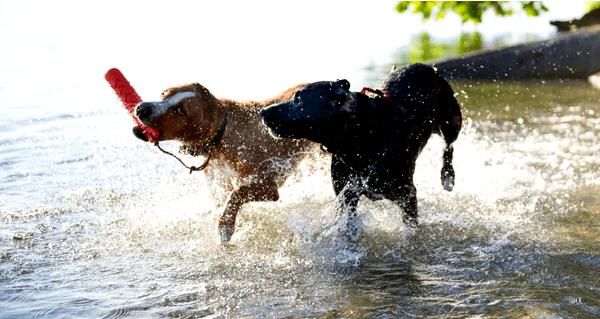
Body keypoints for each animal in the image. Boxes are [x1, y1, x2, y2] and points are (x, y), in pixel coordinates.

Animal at [134, 82, 312, 242]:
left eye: (180, 110)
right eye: (164, 94)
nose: (142, 108)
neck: (222, 134)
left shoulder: (268, 186)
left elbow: (237, 193)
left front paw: (225, 225)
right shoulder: (218, 182)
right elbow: (226, 197)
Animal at [260, 63, 462, 232]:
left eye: (298, 98)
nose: (263, 111)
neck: (358, 135)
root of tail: (425, 66)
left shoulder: (407, 194)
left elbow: (411, 228)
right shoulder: (345, 193)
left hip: (451, 122)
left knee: (449, 146)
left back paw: (448, 177)